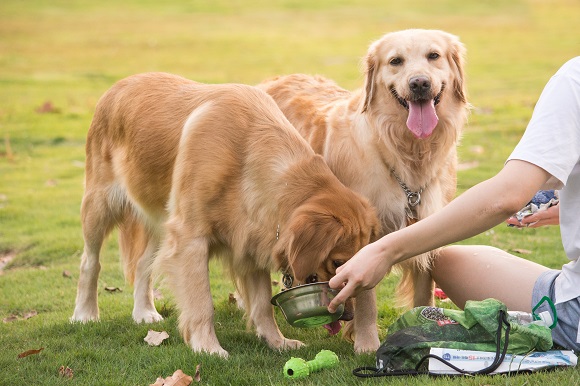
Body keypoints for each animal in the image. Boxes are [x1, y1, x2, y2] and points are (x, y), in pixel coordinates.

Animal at [71, 73, 380, 358]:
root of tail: (121, 83)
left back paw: (144, 311)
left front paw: (277, 341)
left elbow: (262, 305)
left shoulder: (252, 237)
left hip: (160, 222)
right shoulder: (189, 240)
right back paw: (85, 313)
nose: (349, 316)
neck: (247, 152)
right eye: (337, 261)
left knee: (142, 264)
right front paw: (207, 347)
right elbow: (202, 303)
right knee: (90, 262)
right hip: (99, 205)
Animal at [260, 28, 468, 344]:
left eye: (434, 55)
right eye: (395, 61)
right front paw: (367, 343)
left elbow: (424, 292)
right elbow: (367, 295)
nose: (419, 83)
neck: (406, 153)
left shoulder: (430, 223)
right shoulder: (366, 235)